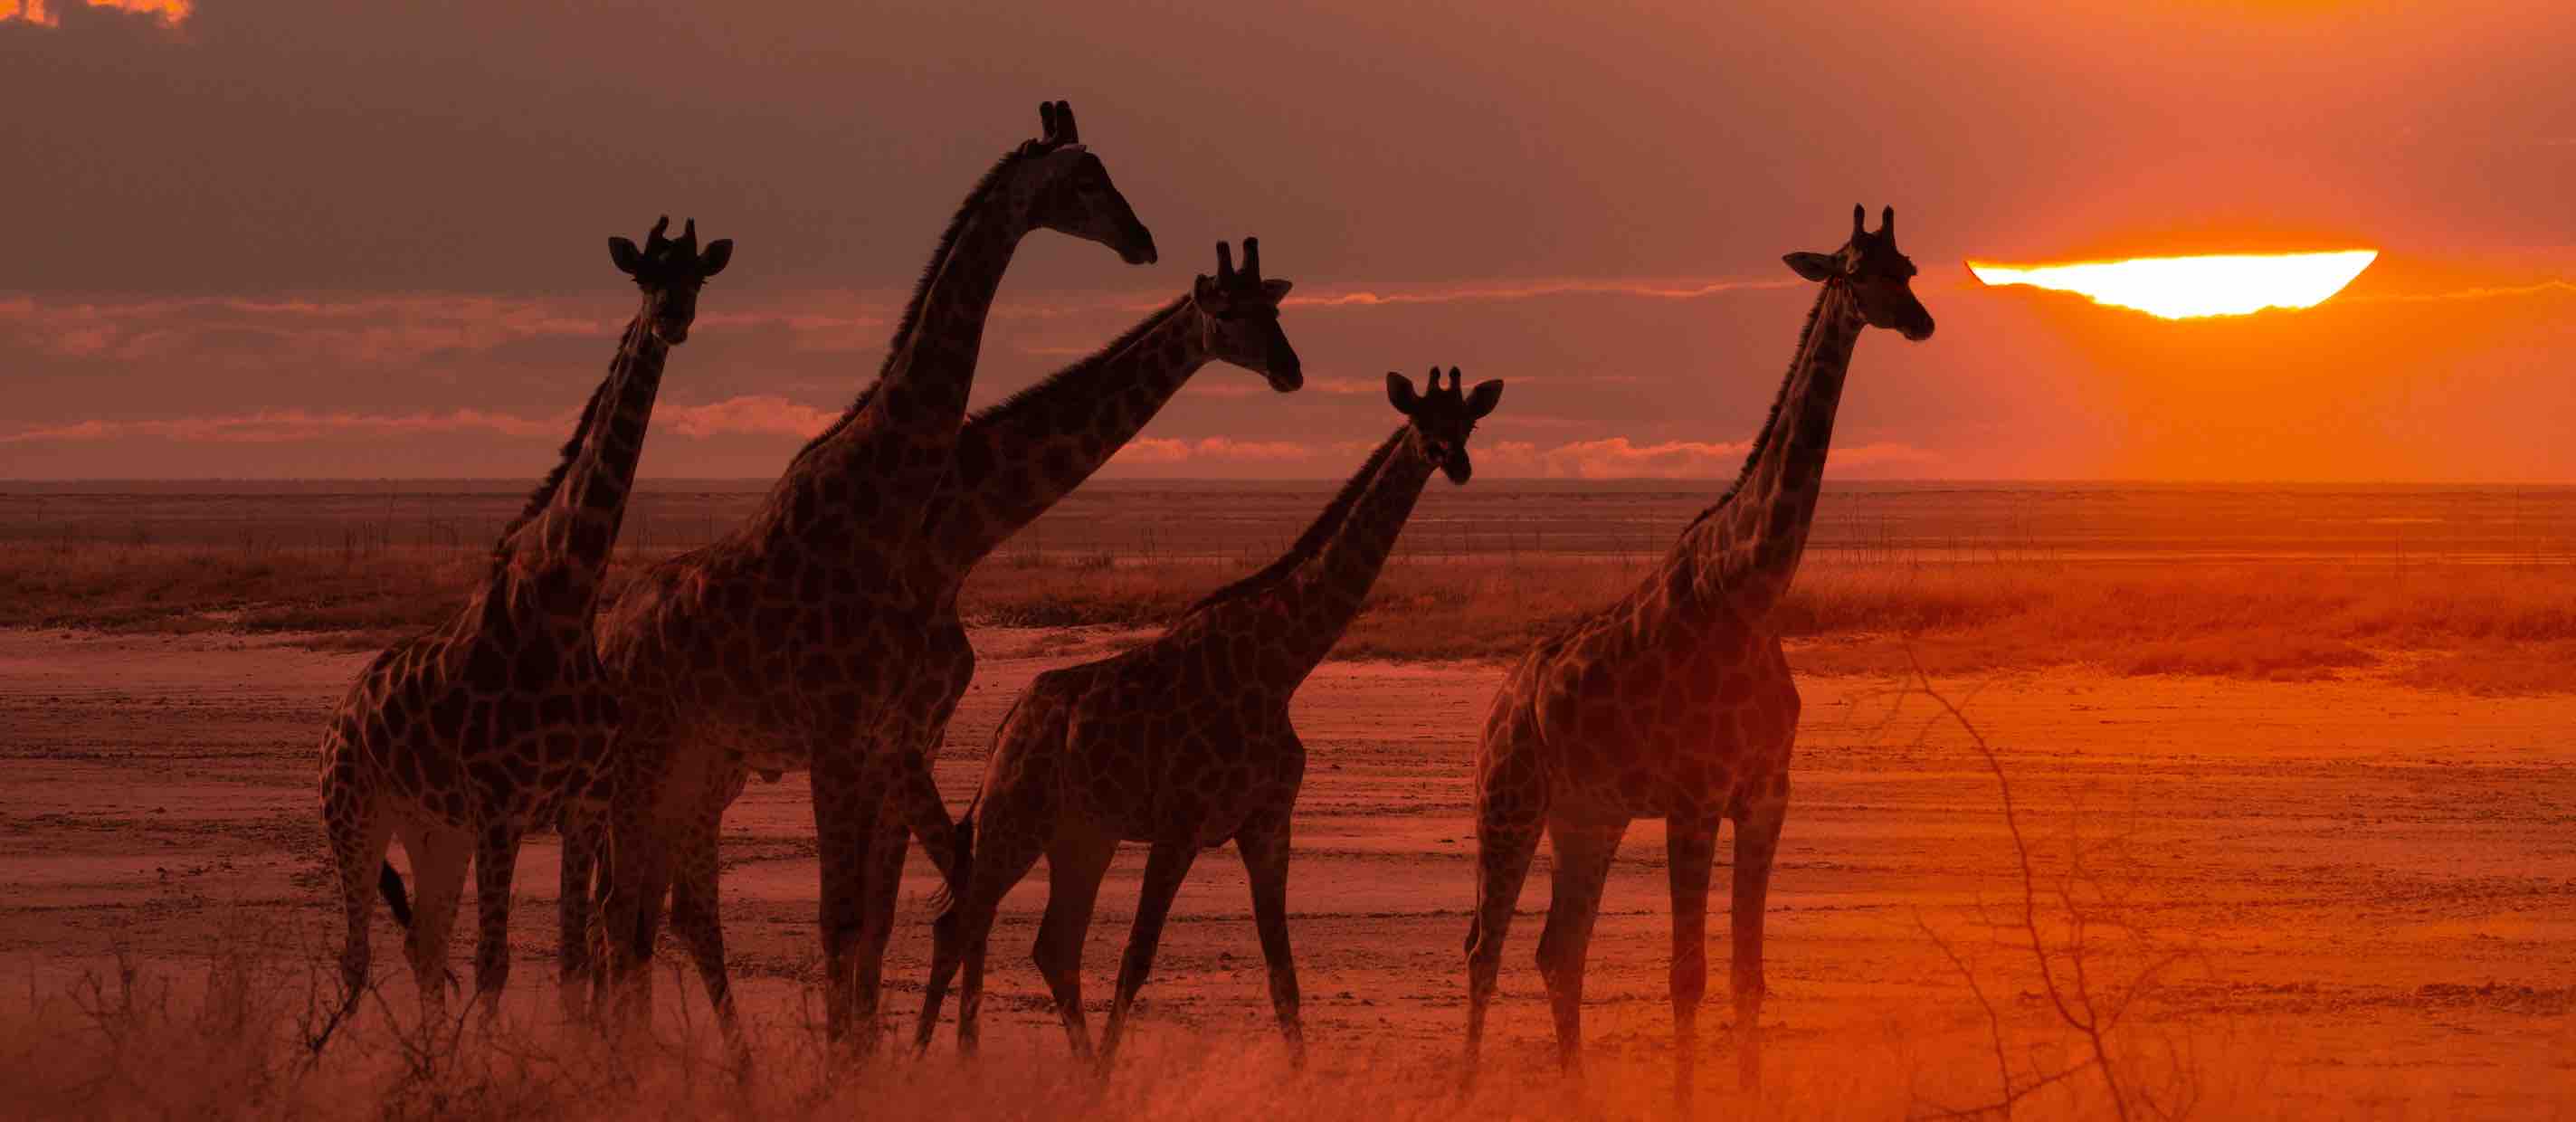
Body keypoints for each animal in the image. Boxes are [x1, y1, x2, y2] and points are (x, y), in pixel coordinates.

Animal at [315, 217, 731, 1027]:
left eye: (696, 275)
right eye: (644, 276)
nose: (672, 318)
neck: (566, 600)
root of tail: (341, 713)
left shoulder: (581, 807)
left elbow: (572, 967)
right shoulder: (501, 808)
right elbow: (495, 965)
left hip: (433, 830)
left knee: (422, 947)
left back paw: (428, 1054)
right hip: (353, 815)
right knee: (355, 959)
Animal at [589, 102, 1157, 1045]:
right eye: (1085, 179)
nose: (1142, 240)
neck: (885, 504)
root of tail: (605, 635)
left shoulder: (880, 738)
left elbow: (871, 922)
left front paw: (864, 1055)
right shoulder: (838, 738)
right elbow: (844, 919)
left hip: (692, 762)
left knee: (636, 909)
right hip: (644, 758)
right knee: (619, 906)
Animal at [914, 367, 1504, 1068]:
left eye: (1468, 421)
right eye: (1421, 419)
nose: (1455, 461)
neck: (1278, 668)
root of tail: (1006, 726)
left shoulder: (1267, 824)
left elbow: (1283, 975)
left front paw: (1300, 1076)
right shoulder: (1180, 824)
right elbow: (1137, 960)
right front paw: (1111, 1074)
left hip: (1083, 835)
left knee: (1049, 946)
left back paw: (1058, 1068)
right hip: (1017, 819)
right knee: (959, 924)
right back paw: (928, 1062)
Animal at [1460, 206, 1934, 1105]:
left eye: (1911, 268)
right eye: (1856, 271)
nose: (1922, 322)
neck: (1750, 593)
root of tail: (1501, 696)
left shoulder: (1765, 795)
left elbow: (1748, 974)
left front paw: (1749, 1094)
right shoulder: (1692, 797)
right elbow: (1688, 974)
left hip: (1588, 815)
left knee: (1557, 949)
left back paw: (1577, 1094)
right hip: (1507, 799)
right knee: (1484, 948)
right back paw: (1465, 1092)